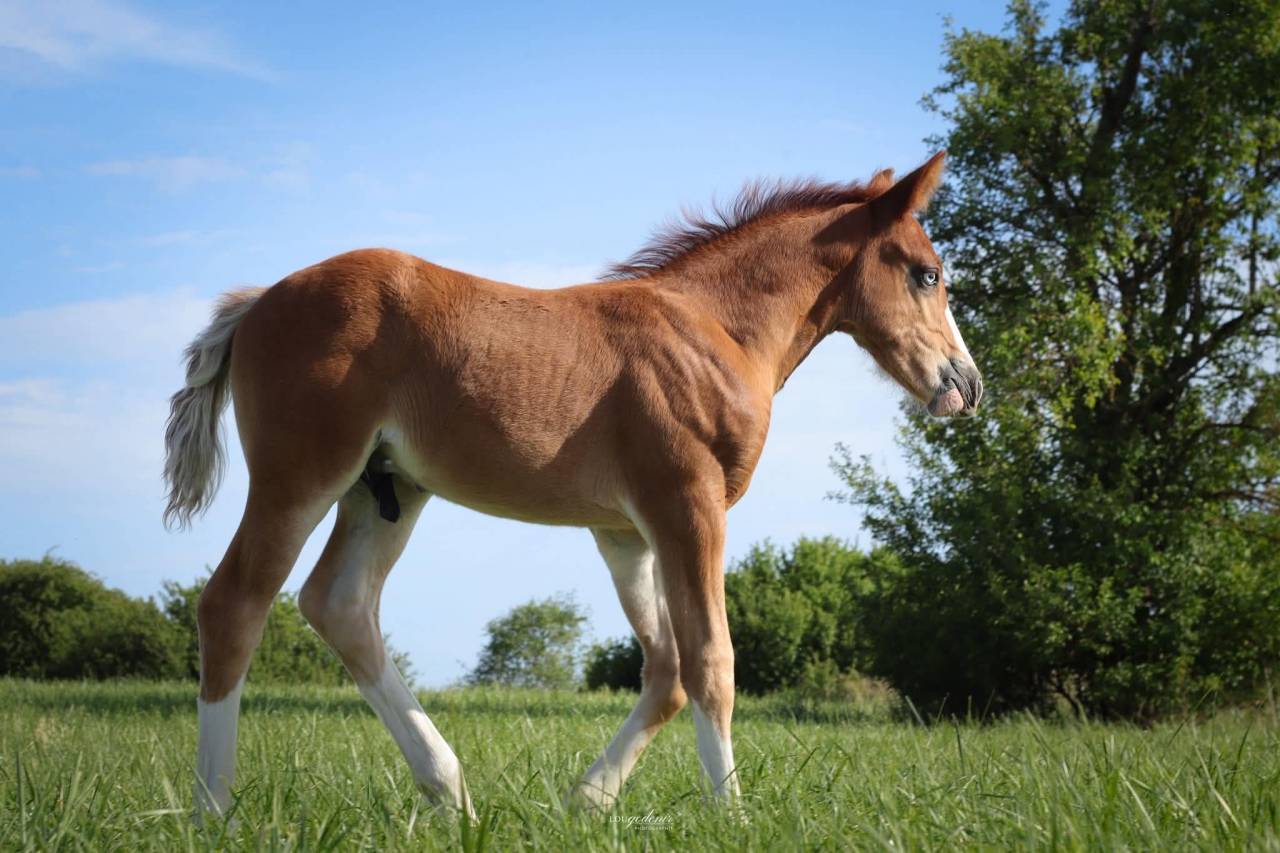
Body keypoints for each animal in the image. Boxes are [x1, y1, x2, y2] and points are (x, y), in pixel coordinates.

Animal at [163, 151, 982, 820]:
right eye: (928, 273)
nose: (965, 386)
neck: (714, 330)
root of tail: (259, 300)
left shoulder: (624, 531)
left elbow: (667, 668)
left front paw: (587, 800)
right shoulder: (689, 506)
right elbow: (711, 661)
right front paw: (733, 815)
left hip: (385, 491)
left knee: (339, 604)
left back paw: (450, 790)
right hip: (300, 474)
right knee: (234, 604)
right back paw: (215, 812)